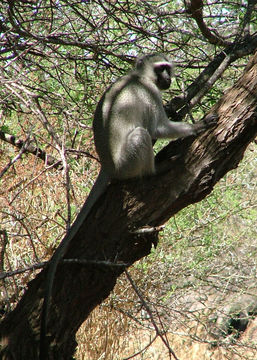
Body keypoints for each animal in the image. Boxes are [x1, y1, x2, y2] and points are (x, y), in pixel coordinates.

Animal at [39, 52, 216, 358]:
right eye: (161, 69)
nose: (167, 78)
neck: (139, 77)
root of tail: (109, 165)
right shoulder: (150, 95)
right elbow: (159, 127)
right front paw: (198, 125)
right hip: (129, 160)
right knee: (142, 135)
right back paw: (156, 169)